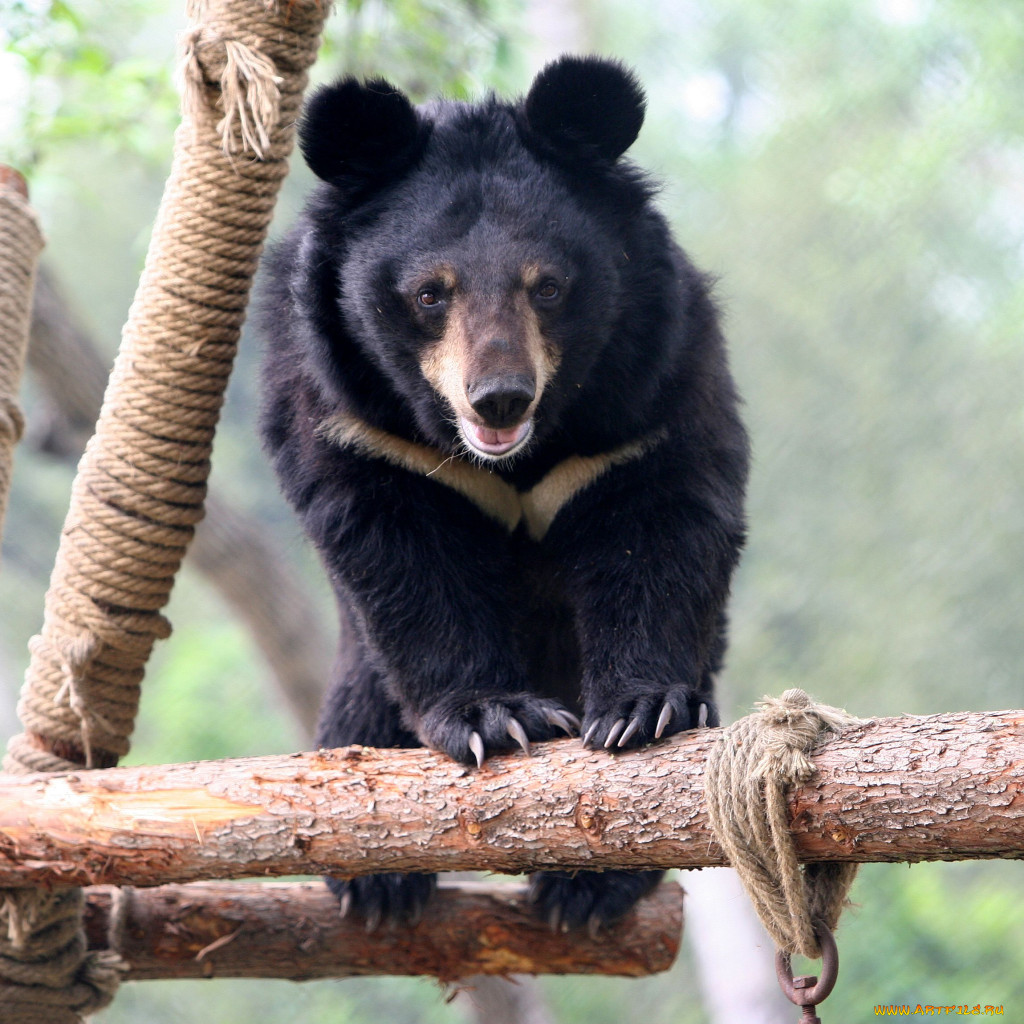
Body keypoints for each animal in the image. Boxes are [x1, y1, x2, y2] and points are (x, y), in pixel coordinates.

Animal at [260, 58, 749, 937]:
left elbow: (662, 526)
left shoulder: (651, 389)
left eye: (547, 287)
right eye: (430, 293)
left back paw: (589, 889)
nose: (499, 399)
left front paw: (642, 711)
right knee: (361, 711)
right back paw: (377, 882)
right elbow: (403, 558)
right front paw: (498, 718)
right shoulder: (352, 416)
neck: (518, 456)